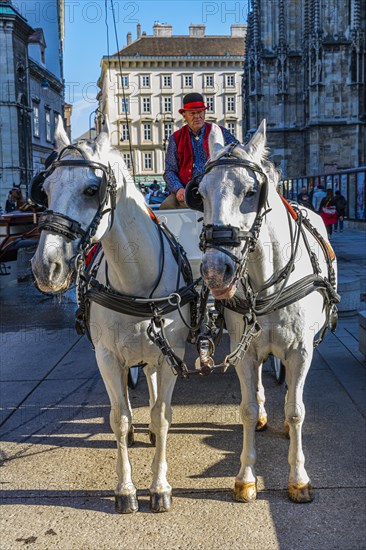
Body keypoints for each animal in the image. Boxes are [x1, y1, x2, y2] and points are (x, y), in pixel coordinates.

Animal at [31, 118, 192, 516]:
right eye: (45, 190)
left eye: (92, 189)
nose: (45, 267)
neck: (135, 282)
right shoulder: (106, 357)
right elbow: (118, 419)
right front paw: (125, 489)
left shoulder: (173, 355)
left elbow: (163, 416)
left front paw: (160, 486)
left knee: (151, 385)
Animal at [186, 121, 340, 504]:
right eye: (201, 194)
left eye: (251, 191)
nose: (214, 272)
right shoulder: (244, 352)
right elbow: (246, 408)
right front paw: (245, 477)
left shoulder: (301, 351)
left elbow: (297, 410)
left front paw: (298, 478)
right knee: (256, 389)